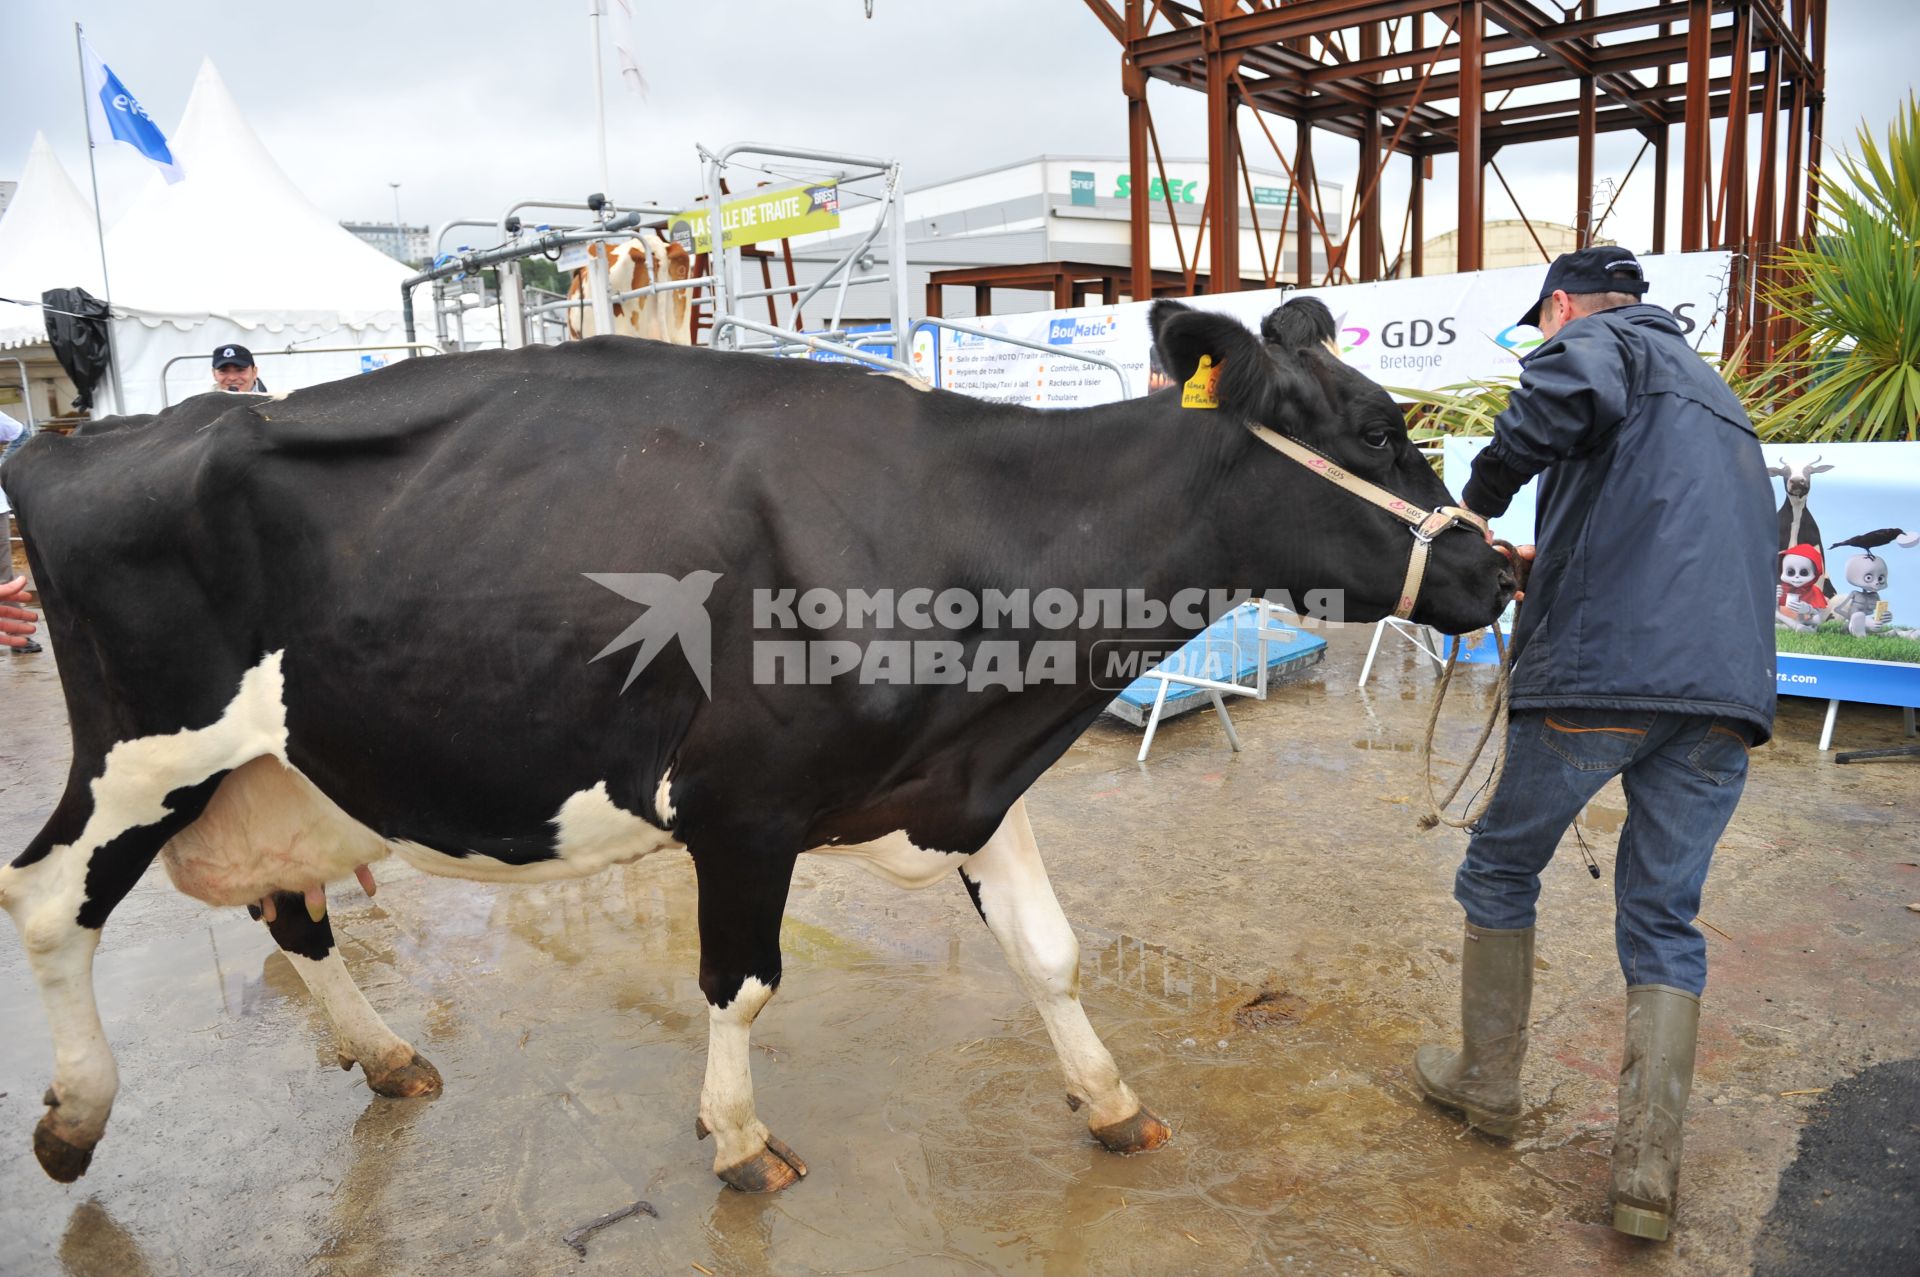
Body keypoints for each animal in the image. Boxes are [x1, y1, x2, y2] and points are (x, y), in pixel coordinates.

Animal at [3, 295, 1512, 1182]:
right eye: (1376, 425)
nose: (1497, 568)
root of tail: (88, 437)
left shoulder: (966, 781)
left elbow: (1050, 949)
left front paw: (1109, 1101)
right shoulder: (741, 806)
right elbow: (740, 985)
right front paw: (737, 1139)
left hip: (283, 766)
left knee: (291, 911)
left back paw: (382, 1057)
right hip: (140, 759)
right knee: (47, 902)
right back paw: (75, 1115)